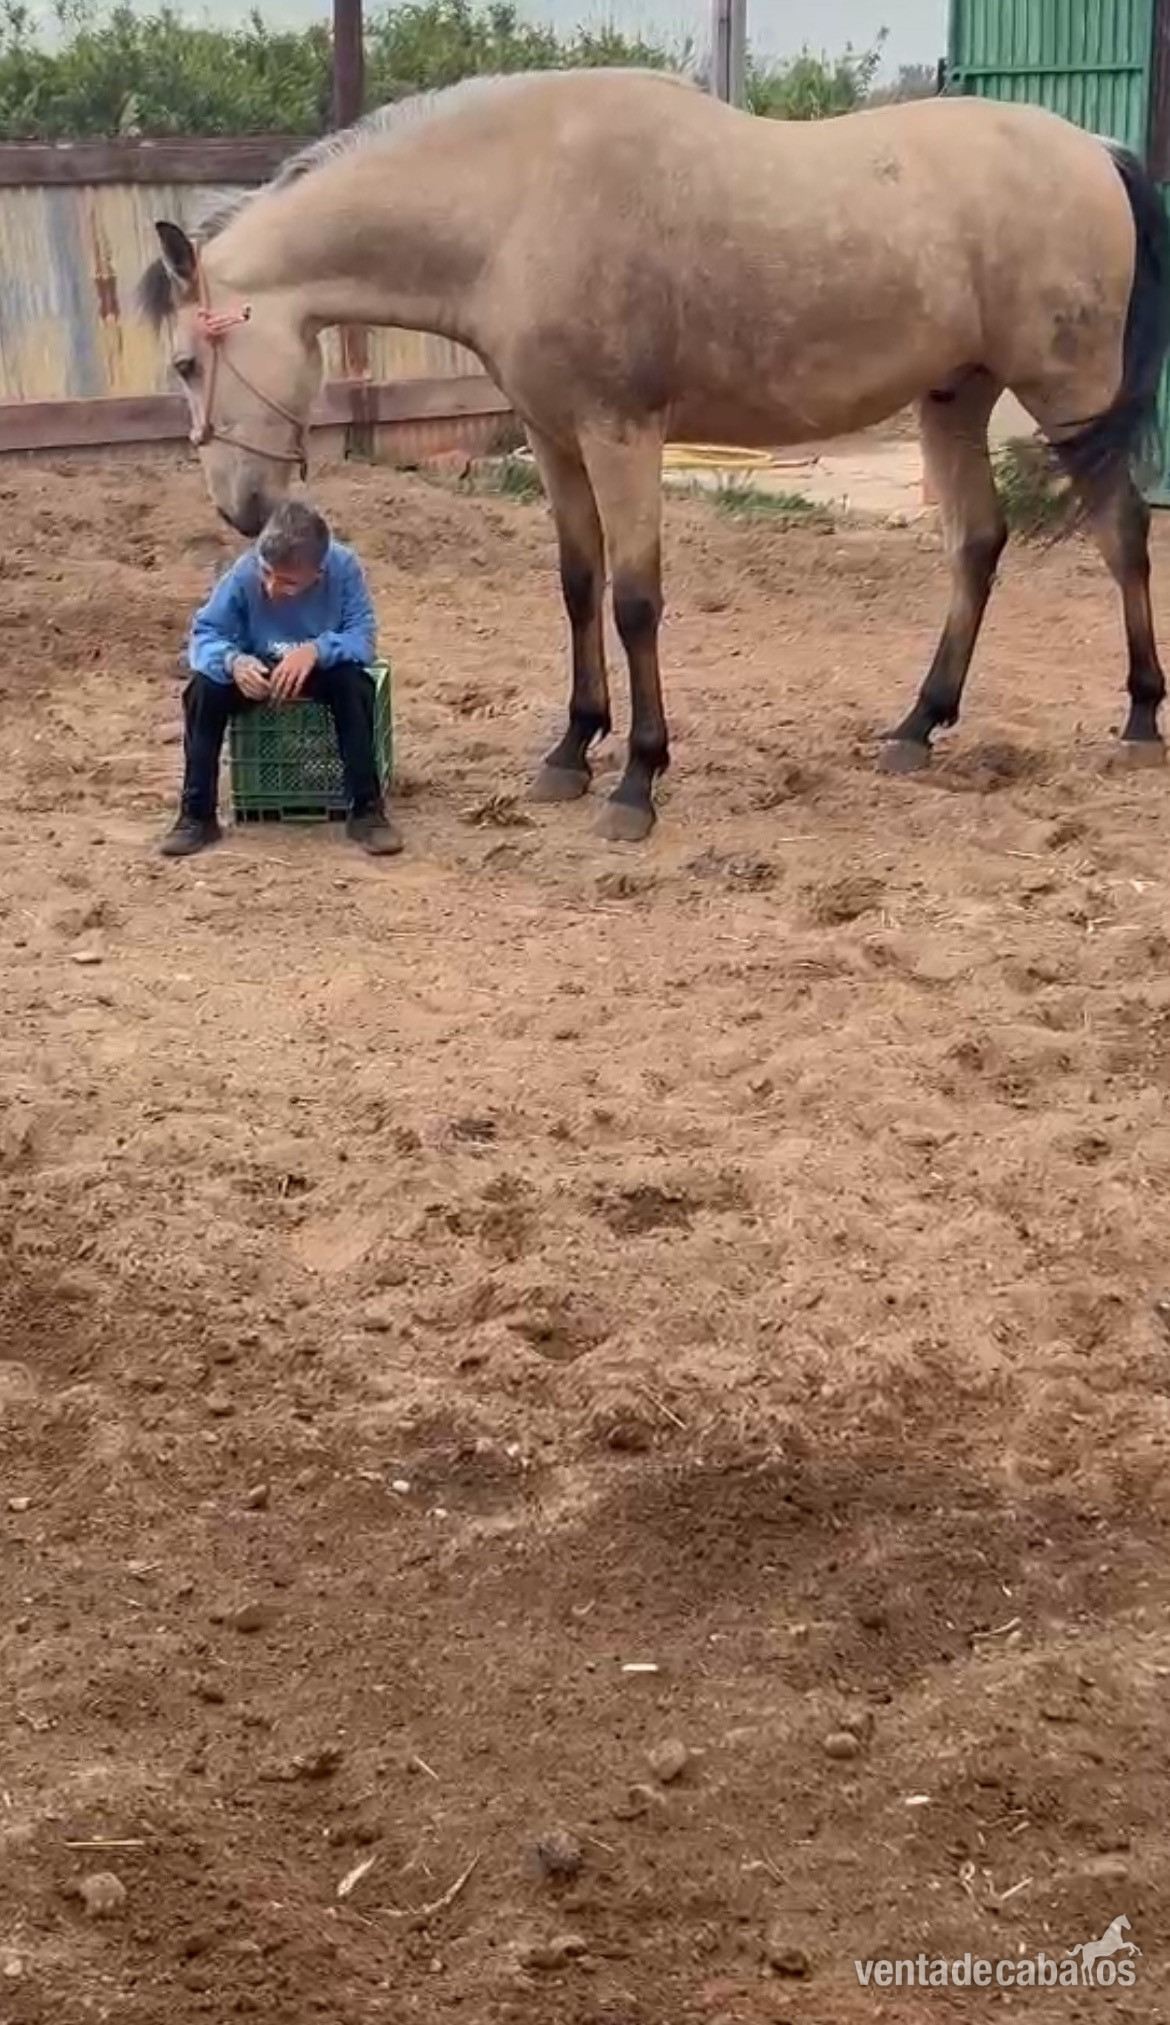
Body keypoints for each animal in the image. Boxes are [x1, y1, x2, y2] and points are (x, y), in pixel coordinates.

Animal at [137, 67, 1170, 844]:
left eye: (187, 362)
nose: (242, 510)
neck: (517, 201)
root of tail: (1096, 149)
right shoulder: (554, 439)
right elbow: (579, 585)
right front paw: (570, 751)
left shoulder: (620, 435)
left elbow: (635, 600)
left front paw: (637, 779)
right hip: (957, 398)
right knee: (977, 544)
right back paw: (919, 725)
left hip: (1070, 398)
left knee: (1121, 535)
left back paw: (1140, 718)